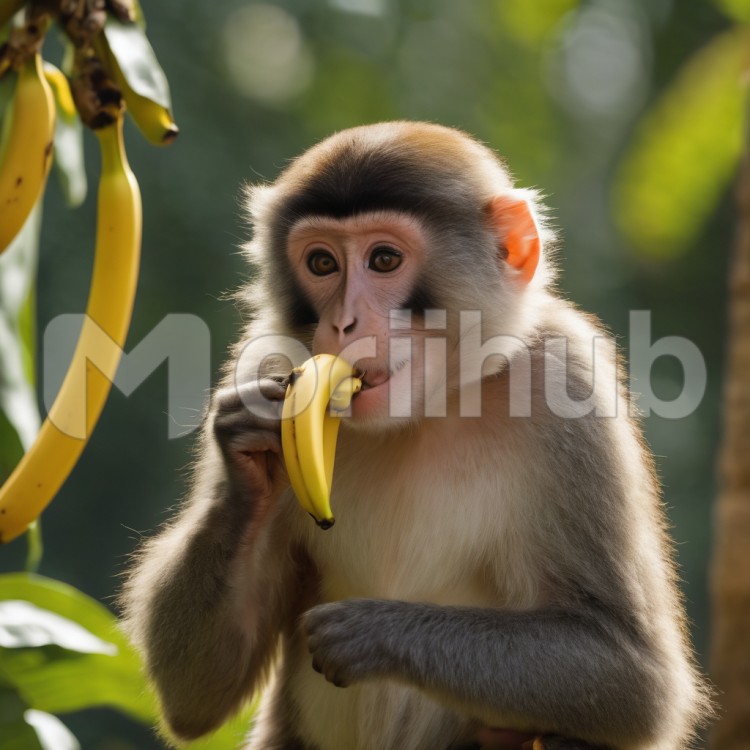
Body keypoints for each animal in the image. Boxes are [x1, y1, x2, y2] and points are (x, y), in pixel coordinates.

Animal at [120, 122, 713, 750]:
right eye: (322, 262)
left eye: (384, 258)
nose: (343, 322)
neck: (426, 410)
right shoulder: (268, 356)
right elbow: (196, 696)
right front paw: (245, 453)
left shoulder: (570, 385)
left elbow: (635, 679)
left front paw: (373, 632)